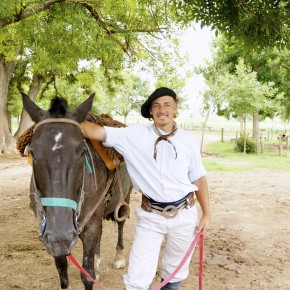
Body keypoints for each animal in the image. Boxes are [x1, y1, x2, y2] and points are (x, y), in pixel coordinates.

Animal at [22, 94, 132, 288]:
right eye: (32, 152)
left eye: (82, 152)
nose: (61, 236)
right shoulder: (51, 236)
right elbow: (62, 269)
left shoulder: (89, 226)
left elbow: (87, 273)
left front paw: (93, 271)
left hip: (125, 197)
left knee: (121, 223)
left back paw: (119, 257)